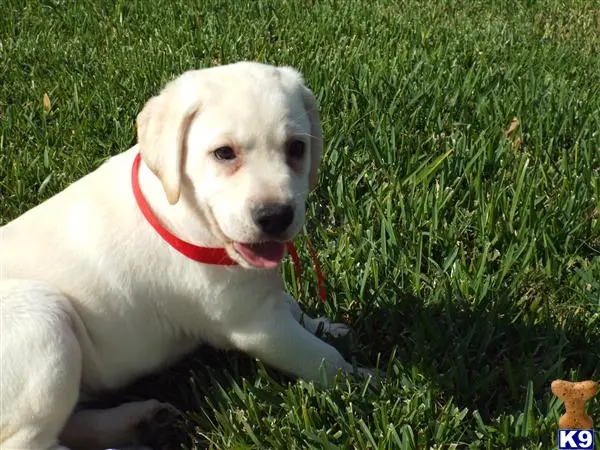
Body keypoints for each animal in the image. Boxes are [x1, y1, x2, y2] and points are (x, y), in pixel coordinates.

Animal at [0, 60, 360, 450]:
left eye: (296, 148)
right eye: (224, 153)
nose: (276, 216)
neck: (183, 213)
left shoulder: (260, 295)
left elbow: (297, 312)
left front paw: (327, 325)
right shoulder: (257, 324)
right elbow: (328, 361)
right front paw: (373, 381)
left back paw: (140, 422)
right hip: (44, 320)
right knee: (30, 442)